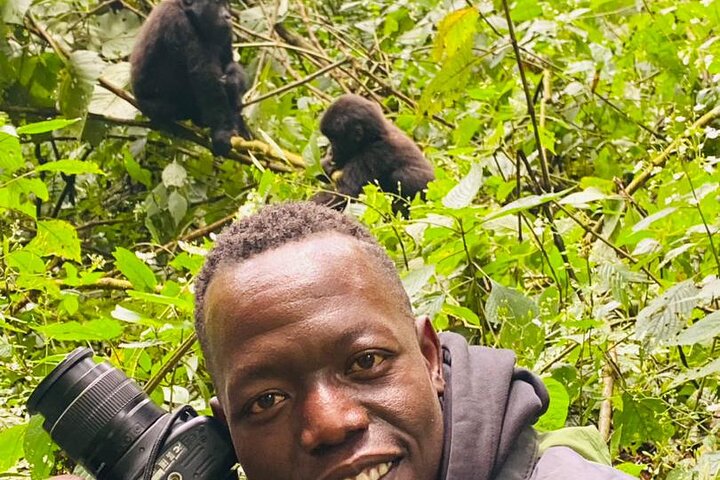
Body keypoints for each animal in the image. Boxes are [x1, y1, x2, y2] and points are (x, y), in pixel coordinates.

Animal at [129, 0, 250, 156]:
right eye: (216, 4)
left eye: (226, 5)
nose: (228, 16)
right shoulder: (178, 22)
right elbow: (205, 78)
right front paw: (222, 132)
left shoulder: (226, 32)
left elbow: (228, 62)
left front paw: (233, 80)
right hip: (155, 107)